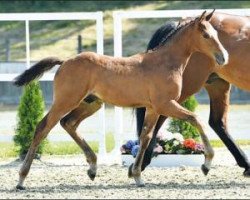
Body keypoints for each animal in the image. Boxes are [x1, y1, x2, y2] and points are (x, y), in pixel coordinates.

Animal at [137, 11, 250, 176]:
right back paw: (142, 163)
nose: (224, 56)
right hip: (177, 92)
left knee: (217, 122)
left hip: (217, 84)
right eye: (206, 36)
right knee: (157, 120)